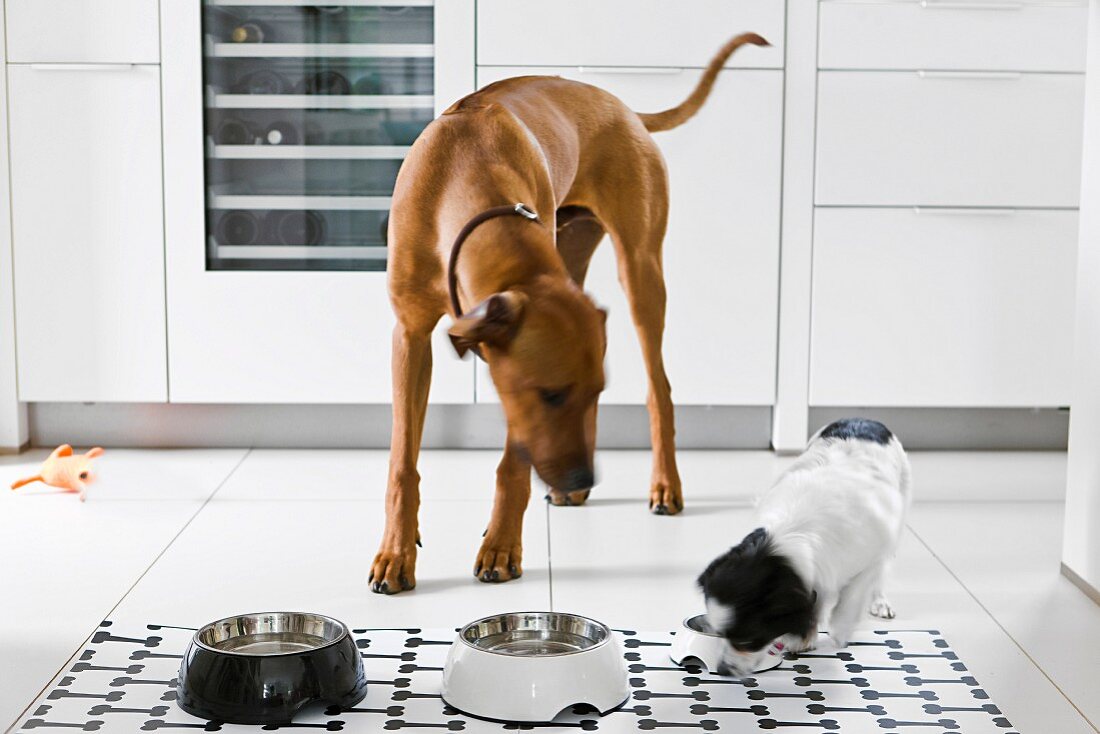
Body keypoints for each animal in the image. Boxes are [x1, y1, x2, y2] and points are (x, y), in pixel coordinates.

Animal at [369, 35, 765, 598]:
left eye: (594, 390)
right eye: (553, 395)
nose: (582, 478)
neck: (464, 173)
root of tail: (625, 108)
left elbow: (512, 466)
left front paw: (501, 547)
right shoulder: (410, 336)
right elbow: (403, 463)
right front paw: (396, 554)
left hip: (640, 271)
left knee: (659, 387)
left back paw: (663, 484)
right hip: (574, 252)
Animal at [699, 418, 906, 677]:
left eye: (748, 640)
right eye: (719, 634)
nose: (723, 670)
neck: (792, 535)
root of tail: (864, 420)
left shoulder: (873, 552)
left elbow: (854, 594)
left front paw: (839, 630)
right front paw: (804, 636)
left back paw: (879, 603)